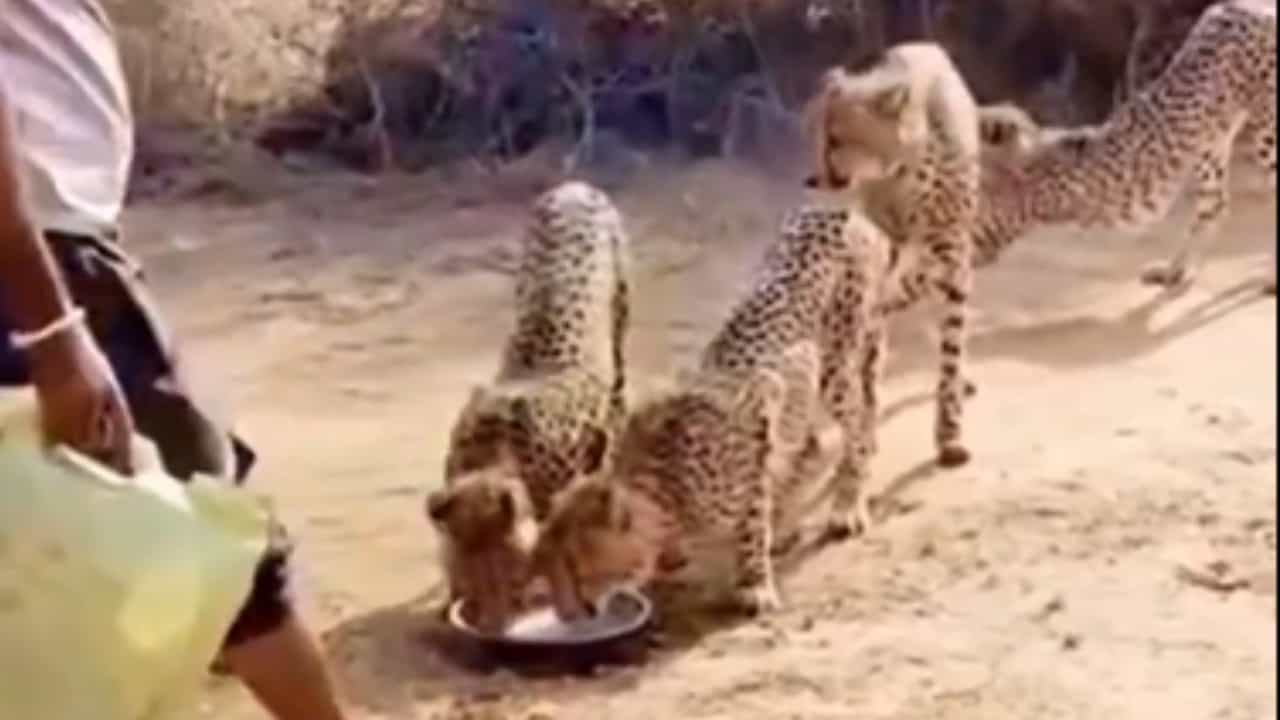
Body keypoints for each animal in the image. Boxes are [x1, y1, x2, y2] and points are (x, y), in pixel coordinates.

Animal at [424, 180, 631, 634]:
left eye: (507, 576)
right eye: (468, 577)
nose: (490, 625)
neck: (495, 455)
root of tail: (575, 187)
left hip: (621, 320)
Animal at [531, 204, 894, 620]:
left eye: (577, 572)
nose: (567, 616)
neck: (668, 488)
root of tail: (840, 208)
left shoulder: (758, 419)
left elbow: (752, 522)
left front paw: (755, 584)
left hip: (838, 363)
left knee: (859, 428)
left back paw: (847, 505)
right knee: (816, 437)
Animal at [803, 41, 982, 469]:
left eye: (836, 140)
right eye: (814, 137)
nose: (813, 179)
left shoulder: (953, 264)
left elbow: (950, 355)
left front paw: (949, 434)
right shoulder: (875, 268)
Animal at [880, 0, 1277, 311]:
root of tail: (1251, 7)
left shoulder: (983, 236)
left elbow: (911, 280)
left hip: (1264, 130)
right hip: (1212, 137)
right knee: (1214, 203)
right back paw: (1174, 271)